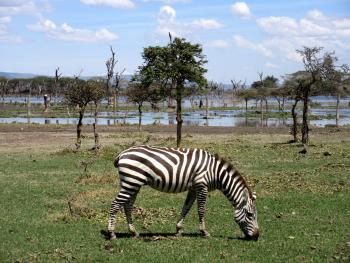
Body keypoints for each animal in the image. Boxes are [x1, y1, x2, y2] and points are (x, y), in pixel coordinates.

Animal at [108, 146, 258, 241]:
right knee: (115, 204)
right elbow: (201, 210)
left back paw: (133, 232)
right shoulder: (201, 186)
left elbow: (186, 208)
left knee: (127, 205)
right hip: (131, 182)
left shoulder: (193, 188)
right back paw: (111, 233)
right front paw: (204, 232)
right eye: (250, 215)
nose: (257, 236)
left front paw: (179, 230)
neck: (216, 173)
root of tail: (122, 153)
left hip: (133, 184)